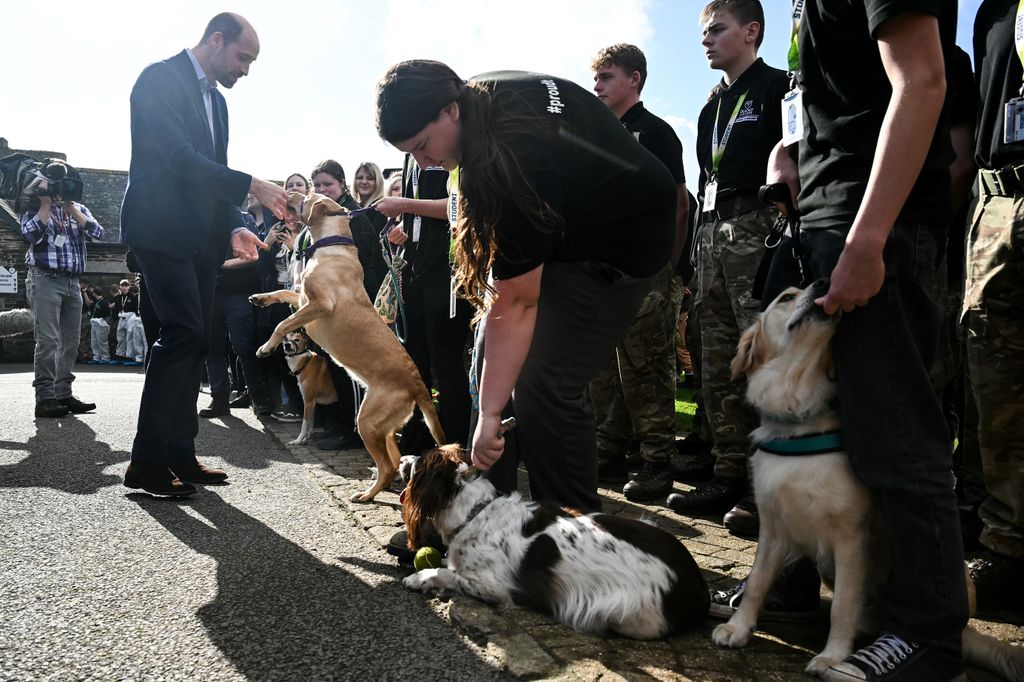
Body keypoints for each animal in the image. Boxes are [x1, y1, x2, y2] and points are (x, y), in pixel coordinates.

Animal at [251, 191, 444, 499]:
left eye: (305, 196)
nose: (289, 193)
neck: (331, 246)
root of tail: (419, 384)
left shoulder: (319, 305)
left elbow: (282, 323)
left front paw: (266, 347)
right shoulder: (303, 299)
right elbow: (282, 293)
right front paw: (260, 298)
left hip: (365, 420)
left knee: (388, 465)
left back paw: (367, 495)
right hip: (384, 428)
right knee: (392, 460)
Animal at [712, 278, 1024, 675]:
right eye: (786, 297)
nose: (825, 281)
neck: (799, 417)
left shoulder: (851, 537)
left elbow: (843, 606)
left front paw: (832, 657)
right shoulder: (773, 527)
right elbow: (757, 582)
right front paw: (738, 628)